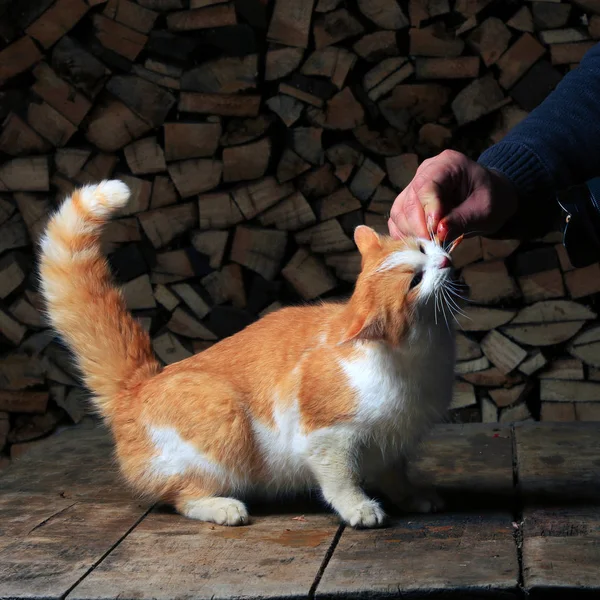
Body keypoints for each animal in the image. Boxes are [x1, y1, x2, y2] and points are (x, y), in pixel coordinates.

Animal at [39, 180, 458, 528]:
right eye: (415, 281)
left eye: (424, 248)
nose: (444, 261)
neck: (420, 360)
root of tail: (138, 387)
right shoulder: (325, 437)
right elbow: (340, 480)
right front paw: (359, 508)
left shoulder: (393, 443)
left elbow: (395, 475)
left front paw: (412, 497)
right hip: (225, 418)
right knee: (182, 496)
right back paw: (223, 508)